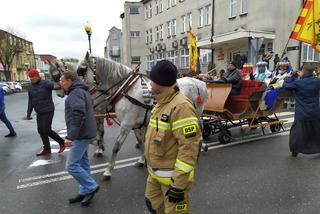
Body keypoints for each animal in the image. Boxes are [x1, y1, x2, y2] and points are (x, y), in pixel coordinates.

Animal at [79, 52, 208, 180]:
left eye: (81, 70)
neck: (127, 90)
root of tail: (198, 82)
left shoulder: (126, 125)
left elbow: (116, 147)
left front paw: (108, 170)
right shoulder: (136, 125)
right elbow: (141, 142)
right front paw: (143, 160)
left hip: (196, 113)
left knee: (200, 126)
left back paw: (202, 146)